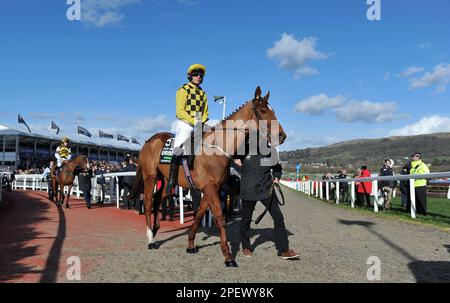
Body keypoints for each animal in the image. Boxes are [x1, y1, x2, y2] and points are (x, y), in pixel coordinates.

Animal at [128, 86, 286, 268]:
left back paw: (155, 231)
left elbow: (198, 216)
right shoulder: (210, 189)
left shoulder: (210, 188)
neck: (216, 148)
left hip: (165, 180)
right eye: (263, 110)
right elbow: (219, 218)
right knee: (148, 203)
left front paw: (190, 244)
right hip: (150, 176)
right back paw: (150, 239)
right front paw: (228, 256)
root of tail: (149, 141)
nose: (282, 136)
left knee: (157, 200)